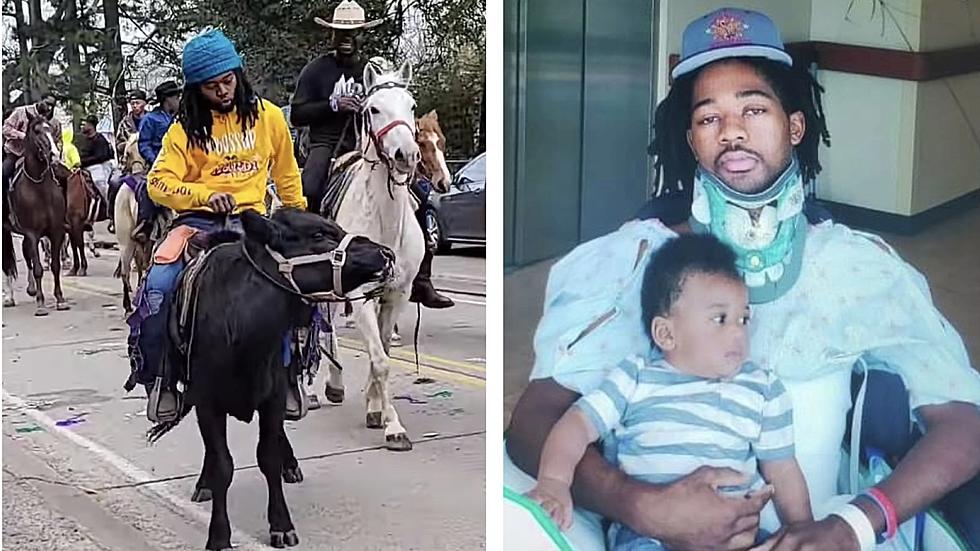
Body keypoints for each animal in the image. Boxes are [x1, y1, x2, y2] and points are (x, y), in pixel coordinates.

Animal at [2, 116, 70, 314]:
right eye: (36, 131)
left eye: (51, 130)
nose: (54, 155)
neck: (38, 186)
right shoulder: (32, 233)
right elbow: (39, 267)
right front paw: (41, 304)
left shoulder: (56, 231)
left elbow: (55, 265)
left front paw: (60, 299)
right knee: (7, 263)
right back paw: (9, 297)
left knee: (26, 256)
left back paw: (31, 288)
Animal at [328, 59, 430, 452]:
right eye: (372, 109)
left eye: (412, 105)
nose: (408, 155)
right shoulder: (359, 294)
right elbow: (381, 359)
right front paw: (395, 428)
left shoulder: (396, 295)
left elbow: (382, 352)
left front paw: (376, 410)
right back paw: (331, 385)